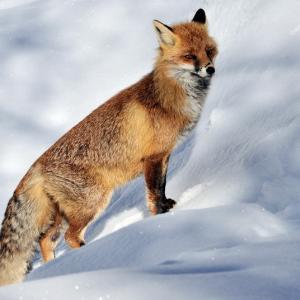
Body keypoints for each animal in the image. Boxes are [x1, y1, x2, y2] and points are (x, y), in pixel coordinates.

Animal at [0, 8, 217, 286]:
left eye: (209, 51)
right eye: (189, 56)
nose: (210, 69)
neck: (169, 95)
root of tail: (35, 165)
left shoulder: (165, 155)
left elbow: (162, 187)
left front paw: (169, 207)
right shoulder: (153, 158)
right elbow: (153, 194)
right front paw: (160, 219)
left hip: (62, 214)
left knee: (45, 240)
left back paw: (56, 270)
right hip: (92, 203)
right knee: (70, 237)